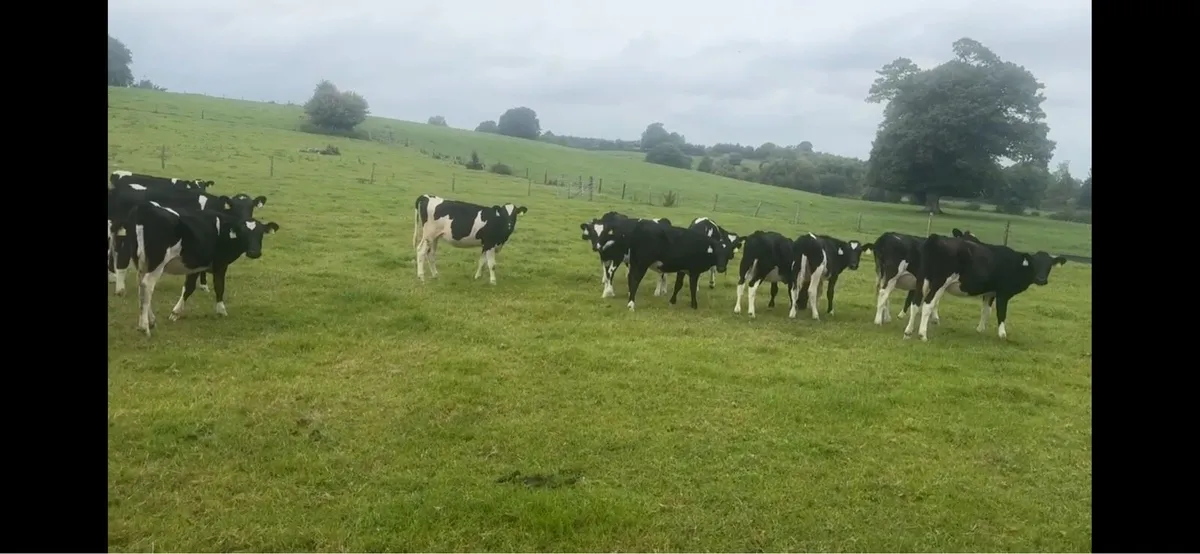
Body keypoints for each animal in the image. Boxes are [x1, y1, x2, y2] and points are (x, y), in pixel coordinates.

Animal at [108, 186, 267, 296]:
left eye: (251, 206)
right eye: (234, 206)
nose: (246, 220)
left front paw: (203, 284)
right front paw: (203, 285)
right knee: (121, 257)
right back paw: (120, 288)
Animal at [116, 200, 279, 337]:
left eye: (261, 233)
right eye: (244, 233)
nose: (254, 252)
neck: (224, 230)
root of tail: (144, 207)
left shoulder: (194, 266)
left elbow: (188, 288)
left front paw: (175, 313)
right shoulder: (220, 264)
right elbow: (219, 287)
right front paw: (221, 311)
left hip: (142, 263)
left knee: (141, 286)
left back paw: (151, 320)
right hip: (157, 263)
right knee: (147, 286)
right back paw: (144, 327)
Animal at [903, 233, 1067, 341]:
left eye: (1049, 265)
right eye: (1035, 263)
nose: (1041, 279)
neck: (1016, 264)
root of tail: (935, 238)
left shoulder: (990, 292)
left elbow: (986, 311)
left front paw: (980, 329)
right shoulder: (1002, 293)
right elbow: (1001, 313)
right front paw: (1002, 334)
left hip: (922, 280)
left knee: (915, 304)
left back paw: (908, 332)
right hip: (939, 282)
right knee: (927, 304)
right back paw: (922, 334)